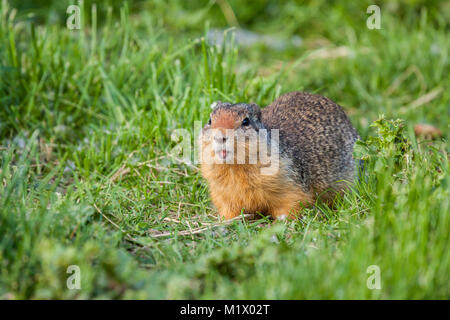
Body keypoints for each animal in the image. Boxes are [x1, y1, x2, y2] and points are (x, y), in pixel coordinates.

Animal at [200, 91, 358, 219]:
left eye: (246, 121)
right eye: (210, 120)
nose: (219, 137)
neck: (234, 167)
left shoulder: (289, 185)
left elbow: (291, 205)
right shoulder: (222, 194)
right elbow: (229, 211)